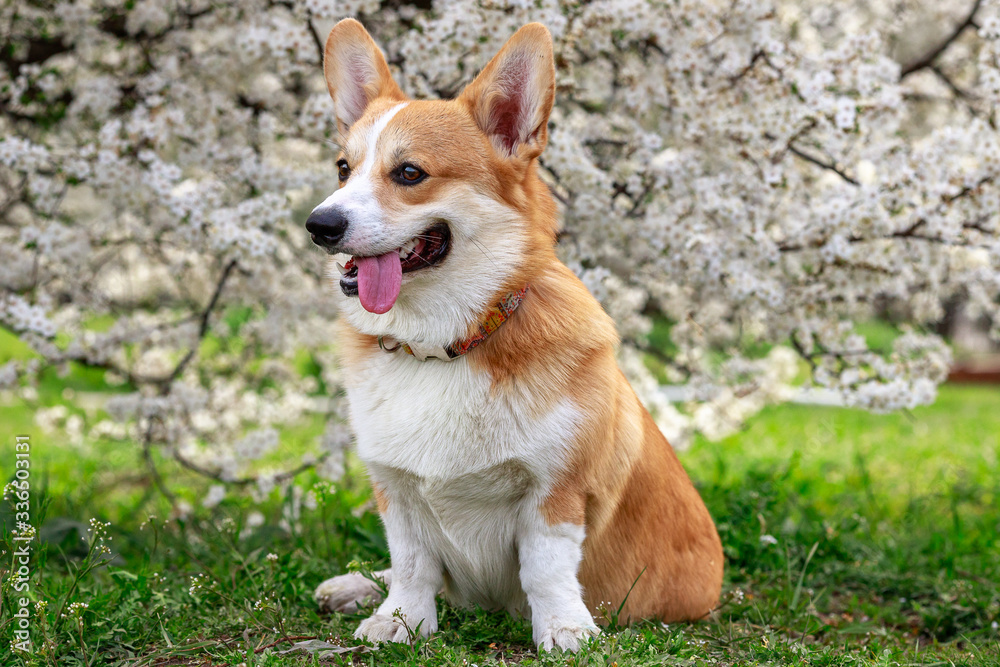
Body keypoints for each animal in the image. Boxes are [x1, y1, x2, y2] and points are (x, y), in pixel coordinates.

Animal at [308, 19, 724, 652]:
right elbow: (411, 564)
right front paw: (398, 621)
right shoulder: (396, 487)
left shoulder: (555, 491)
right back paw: (353, 586)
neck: (444, 347)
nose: (319, 225)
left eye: (409, 173)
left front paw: (565, 631)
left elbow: (546, 570)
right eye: (342, 169)